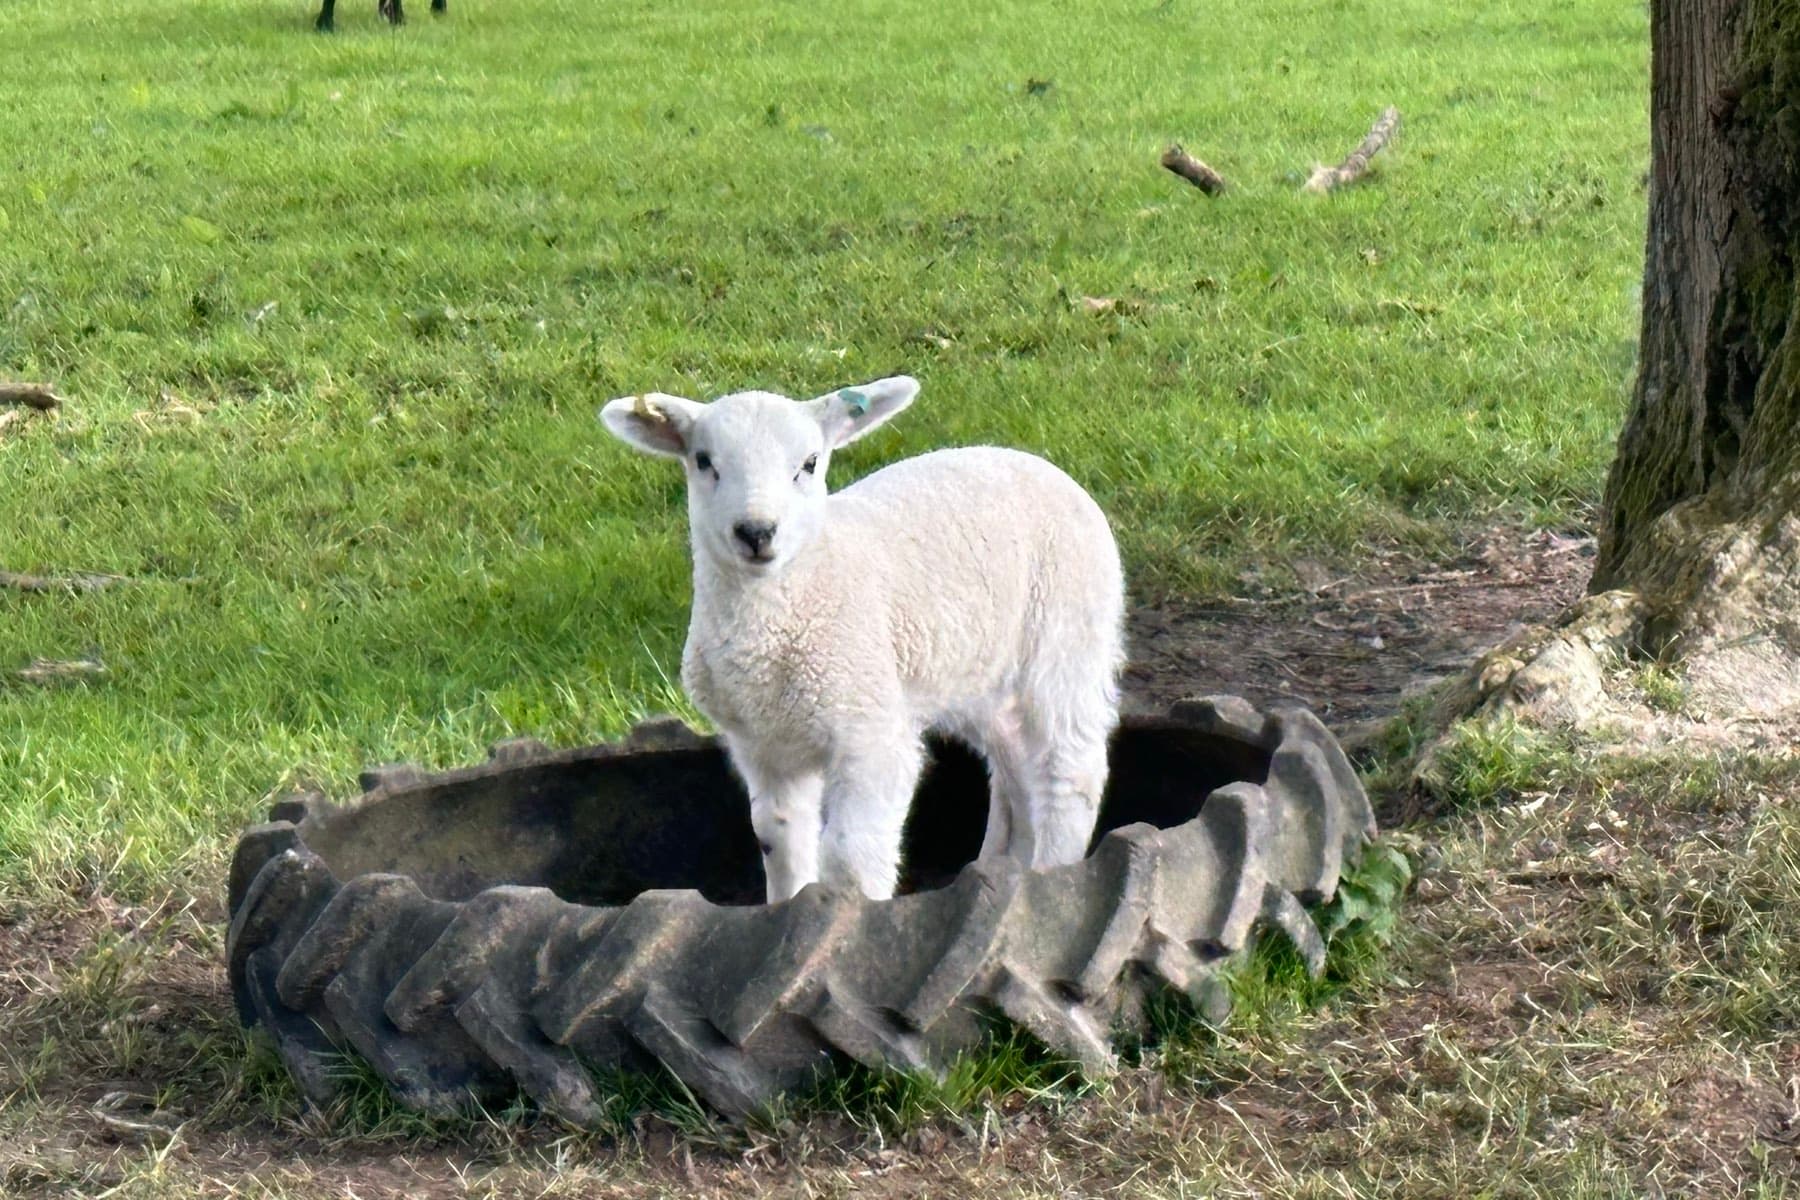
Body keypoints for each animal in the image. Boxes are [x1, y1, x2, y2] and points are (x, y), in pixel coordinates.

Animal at [600, 377, 1125, 902]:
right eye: (704, 460)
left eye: (810, 463)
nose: (756, 532)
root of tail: (1026, 457)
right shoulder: (763, 747)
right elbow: (779, 839)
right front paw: (787, 906)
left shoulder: (867, 729)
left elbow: (851, 855)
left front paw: (847, 911)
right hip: (977, 671)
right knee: (1015, 760)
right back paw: (1005, 865)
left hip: (1069, 629)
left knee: (1069, 766)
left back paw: (1053, 876)